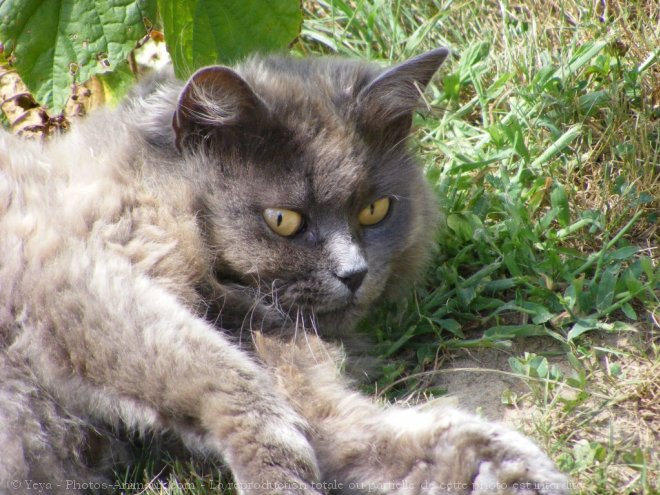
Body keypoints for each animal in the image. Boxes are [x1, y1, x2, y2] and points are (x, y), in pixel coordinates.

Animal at [0, 47, 568, 495]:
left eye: (375, 211)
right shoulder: (69, 275)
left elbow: (373, 434)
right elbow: (222, 377)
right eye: (283, 220)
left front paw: (507, 471)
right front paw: (281, 476)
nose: (354, 273)